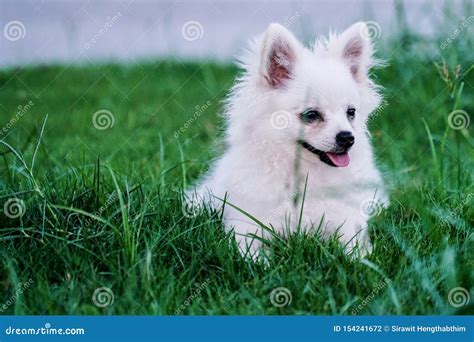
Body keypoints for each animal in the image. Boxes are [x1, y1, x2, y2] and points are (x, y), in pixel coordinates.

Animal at [191, 22, 386, 260]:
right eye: (311, 115)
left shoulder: (345, 223)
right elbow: (249, 252)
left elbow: (355, 248)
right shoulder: (247, 226)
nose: (348, 137)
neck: (304, 175)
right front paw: (260, 263)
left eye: (351, 113)